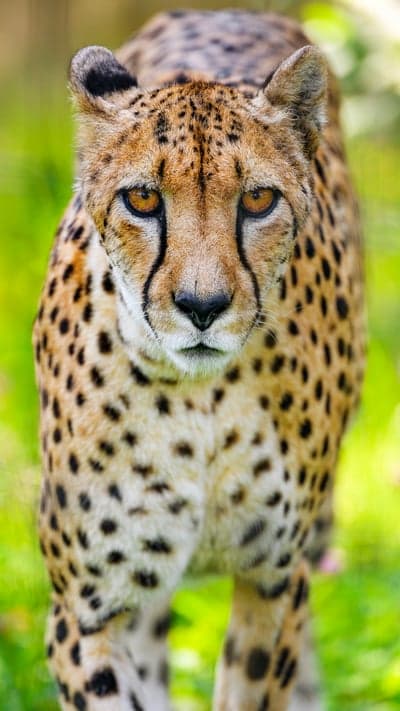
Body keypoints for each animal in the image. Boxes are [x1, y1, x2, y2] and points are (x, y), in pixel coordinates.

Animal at [33, 9, 364, 711]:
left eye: (259, 201)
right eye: (143, 200)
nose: (202, 306)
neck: (197, 399)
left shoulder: (274, 581)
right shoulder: (86, 610)